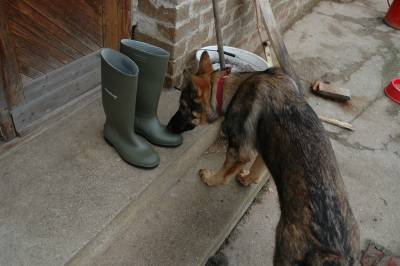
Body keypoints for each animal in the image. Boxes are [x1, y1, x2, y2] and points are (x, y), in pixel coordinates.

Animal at [166, 51, 360, 264]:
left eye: (182, 107)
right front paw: (248, 179)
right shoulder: (262, 144)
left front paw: (211, 179)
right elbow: (258, 167)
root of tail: (333, 254)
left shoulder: (239, 150)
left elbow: (224, 173)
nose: (168, 127)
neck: (232, 87)